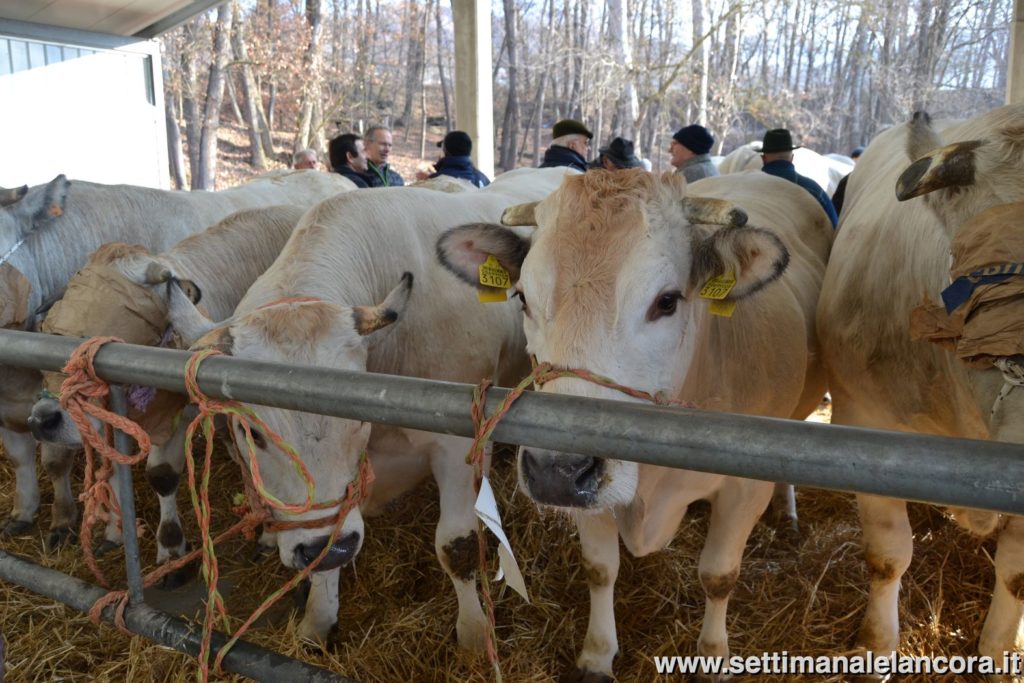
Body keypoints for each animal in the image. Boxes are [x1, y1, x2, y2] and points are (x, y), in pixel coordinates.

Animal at [180, 167, 573, 643]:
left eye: (354, 414)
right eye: (251, 432)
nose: (326, 547)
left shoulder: (457, 445)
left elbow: (456, 545)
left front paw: (474, 635)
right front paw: (316, 621)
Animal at [434, 169, 831, 679]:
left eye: (667, 301)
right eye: (522, 297)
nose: (556, 470)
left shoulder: (744, 490)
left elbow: (718, 575)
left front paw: (713, 656)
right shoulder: (591, 493)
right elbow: (600, 568)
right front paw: (598, 654)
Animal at [819, 104, 1024, 679]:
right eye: (980, 275)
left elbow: (1016, 576)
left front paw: (1000, 651)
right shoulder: (864, 422)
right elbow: (888, 554)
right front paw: (876, 645)